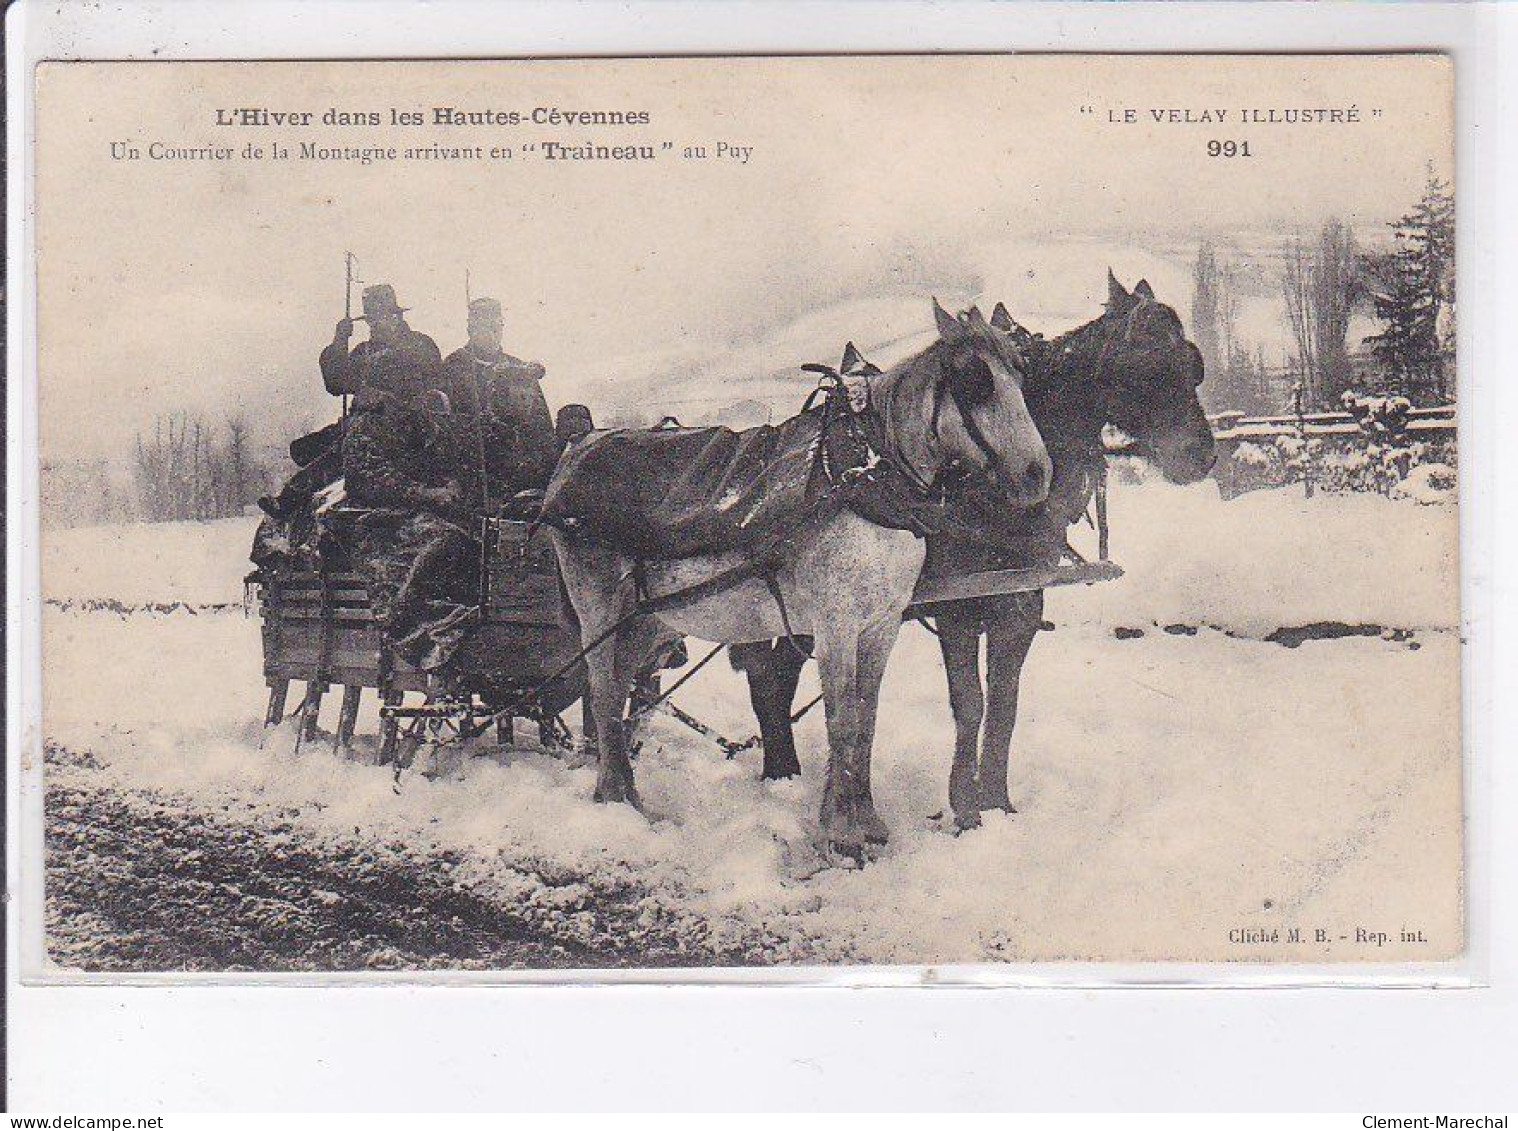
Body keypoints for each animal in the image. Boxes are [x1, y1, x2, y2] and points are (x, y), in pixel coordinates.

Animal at [728, 268, 1214, 825]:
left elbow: (1005, 702)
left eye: (1193, 364)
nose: (1202, 456)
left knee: (777, 673)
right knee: (766, 674)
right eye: (1143, 368)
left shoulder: (1021, 601)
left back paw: (784, 768)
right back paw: (780, 773)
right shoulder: (957, 607)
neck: (985, 489)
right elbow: (970, 702)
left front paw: (996, 799)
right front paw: (964, 806)